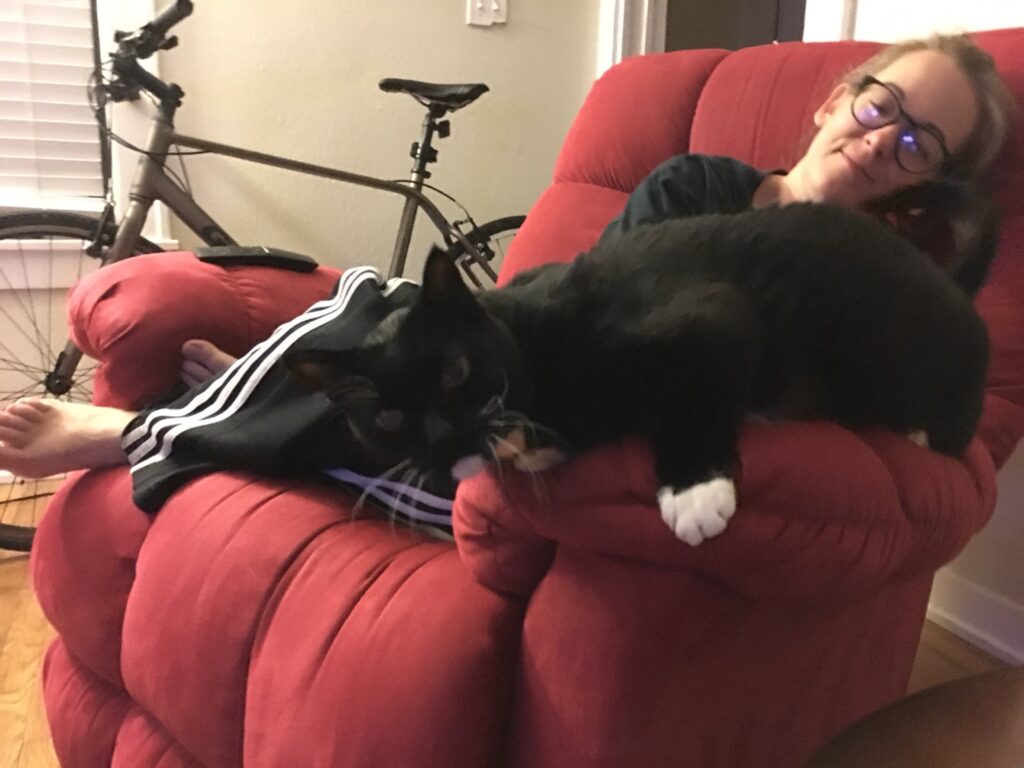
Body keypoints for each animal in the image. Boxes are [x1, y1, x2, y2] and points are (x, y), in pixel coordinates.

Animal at [285, 199, 997, 546]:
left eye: (457, 373)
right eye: (387, 418)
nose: (441, 436)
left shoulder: (716, 317)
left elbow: (697, 404)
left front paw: (693, 492)